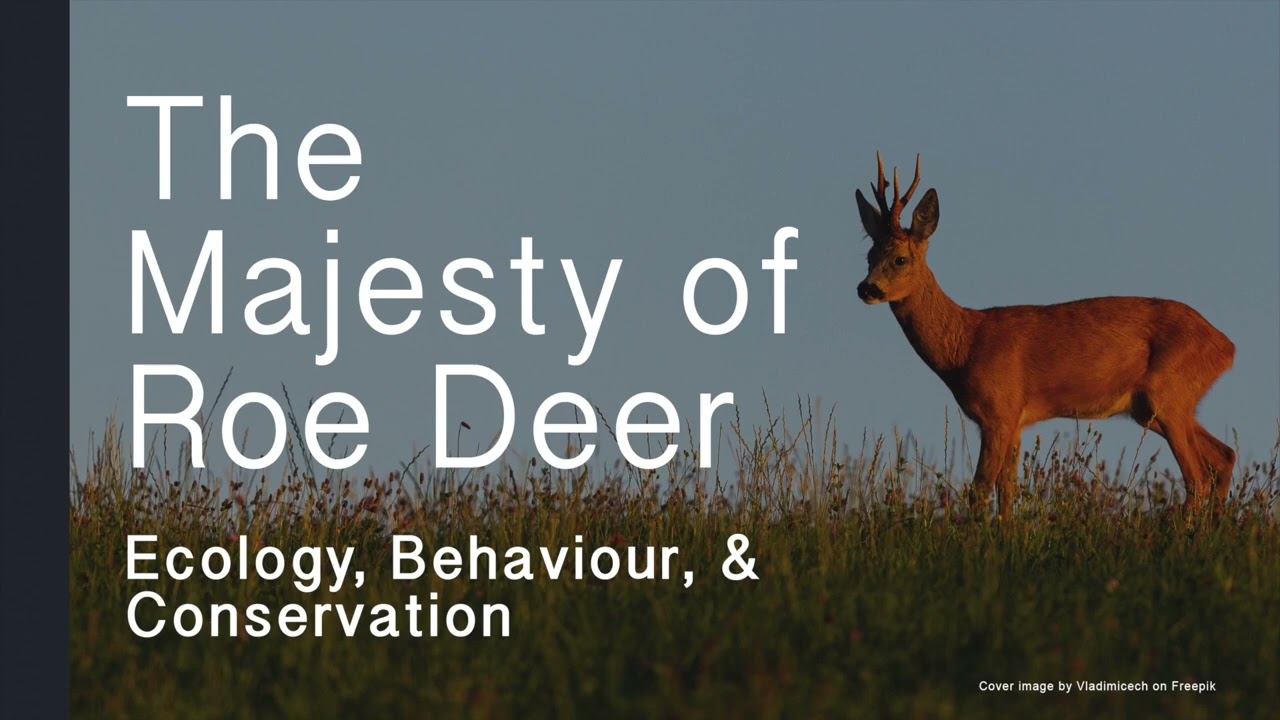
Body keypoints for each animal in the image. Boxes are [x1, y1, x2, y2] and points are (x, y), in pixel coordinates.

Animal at [853, 152, 1236, 519]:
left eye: (900, 259)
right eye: (869, 255)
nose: (866, 288)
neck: (964, 346)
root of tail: (1227, 346)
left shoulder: (999, 411)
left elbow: (980, 490)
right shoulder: (1016, 421)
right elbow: (1007, 495)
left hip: (1167, 392)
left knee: (1198, 477)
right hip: (1158, 405)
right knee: (1224, 455)